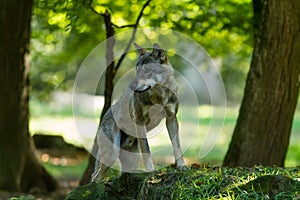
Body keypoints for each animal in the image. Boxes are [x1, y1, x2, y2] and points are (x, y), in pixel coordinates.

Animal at [91, 43, 185, 182]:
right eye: (137, 70)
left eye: (146, 71)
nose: (131, 86)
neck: (159, 96)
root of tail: (102, 119)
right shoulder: (140, 121)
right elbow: (147, 151)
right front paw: (151, 172)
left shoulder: (171, 119)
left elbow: (177, 146)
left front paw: (181, 166)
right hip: (111, 155)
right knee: (95, 176)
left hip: (131, 158)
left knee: (122, 172)